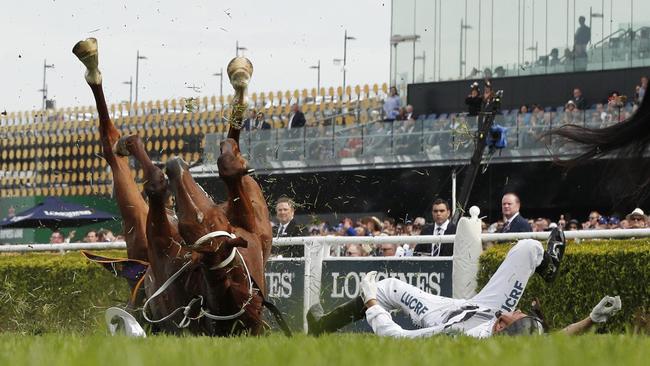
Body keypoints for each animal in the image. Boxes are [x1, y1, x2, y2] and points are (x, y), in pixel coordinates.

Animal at [72, 38, 288, 336]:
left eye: (197, 224)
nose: (177, 166)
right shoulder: (250, 227)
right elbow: (229, 166)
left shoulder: (161, 240)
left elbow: (155, 180)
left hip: (138, 226)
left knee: (109, 144)